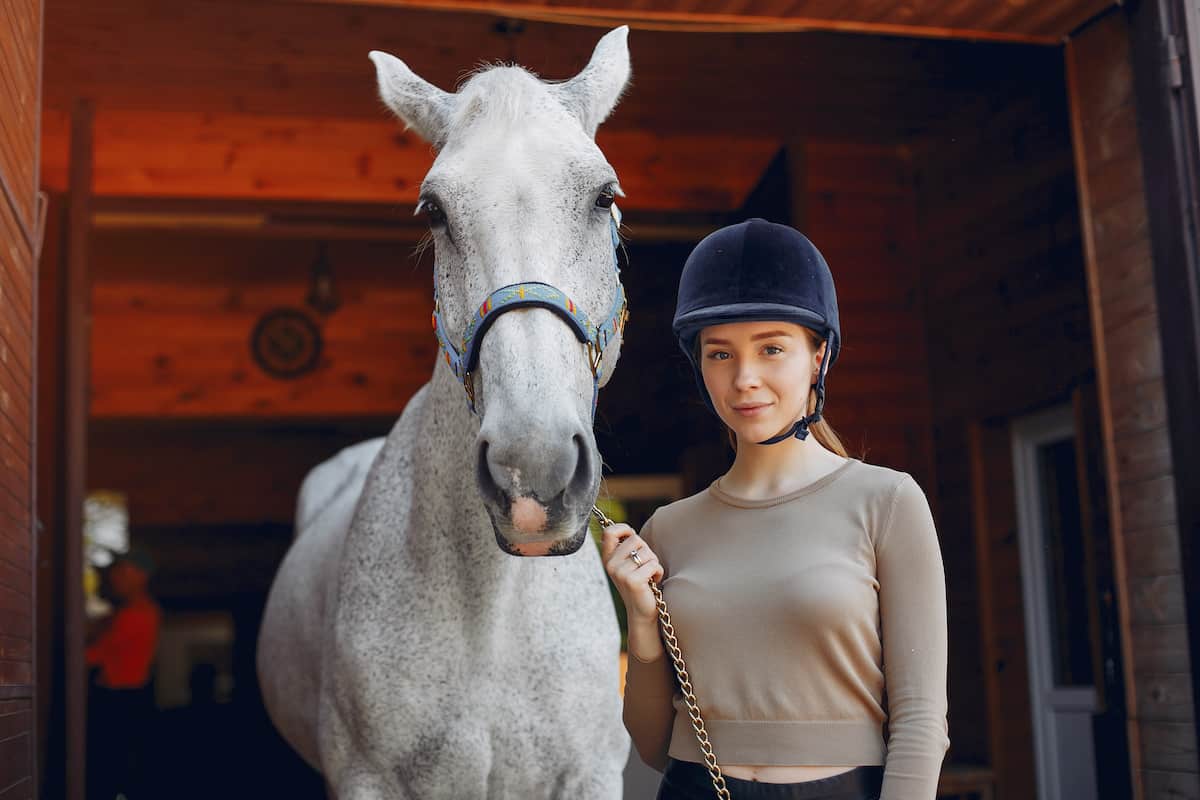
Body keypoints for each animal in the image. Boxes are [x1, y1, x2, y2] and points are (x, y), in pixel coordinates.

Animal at [257, 26, 634, 799]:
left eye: (603, 195)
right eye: (434, 211)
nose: (533, 470)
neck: (492, 615)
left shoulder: (590, 774)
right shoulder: (366, 779)